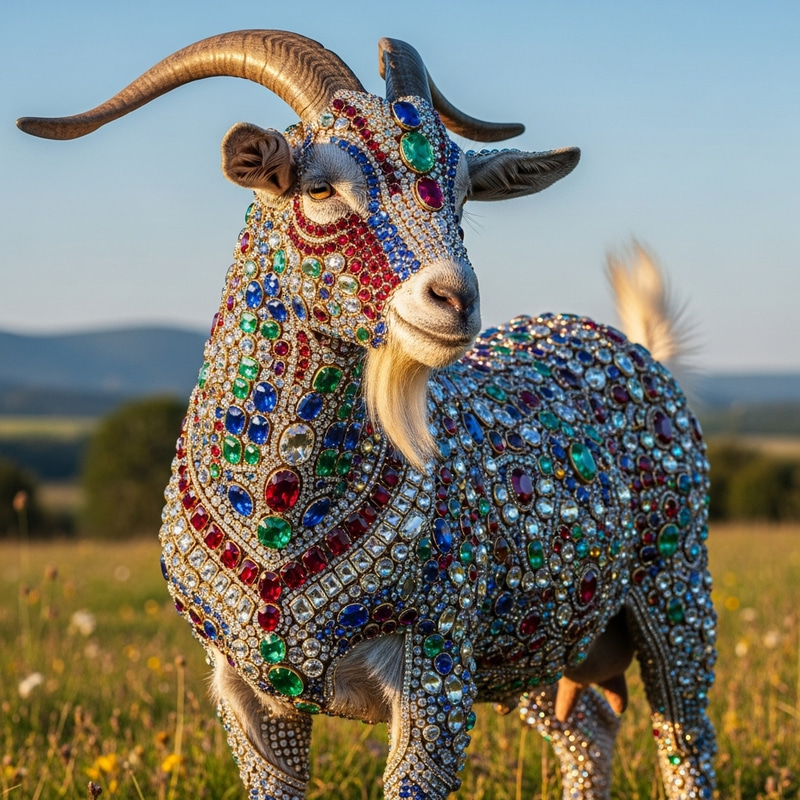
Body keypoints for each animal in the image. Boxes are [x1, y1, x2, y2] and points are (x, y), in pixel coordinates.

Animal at [18, 31, 716, 800]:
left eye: (464, 197)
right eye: (319, 186)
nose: (455, 300)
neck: (280, 515)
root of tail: (633, 346)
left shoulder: (438, 667)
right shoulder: (245, 693)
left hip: (676, 587)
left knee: (685, 738)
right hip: (540, 632)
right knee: (587, 728)